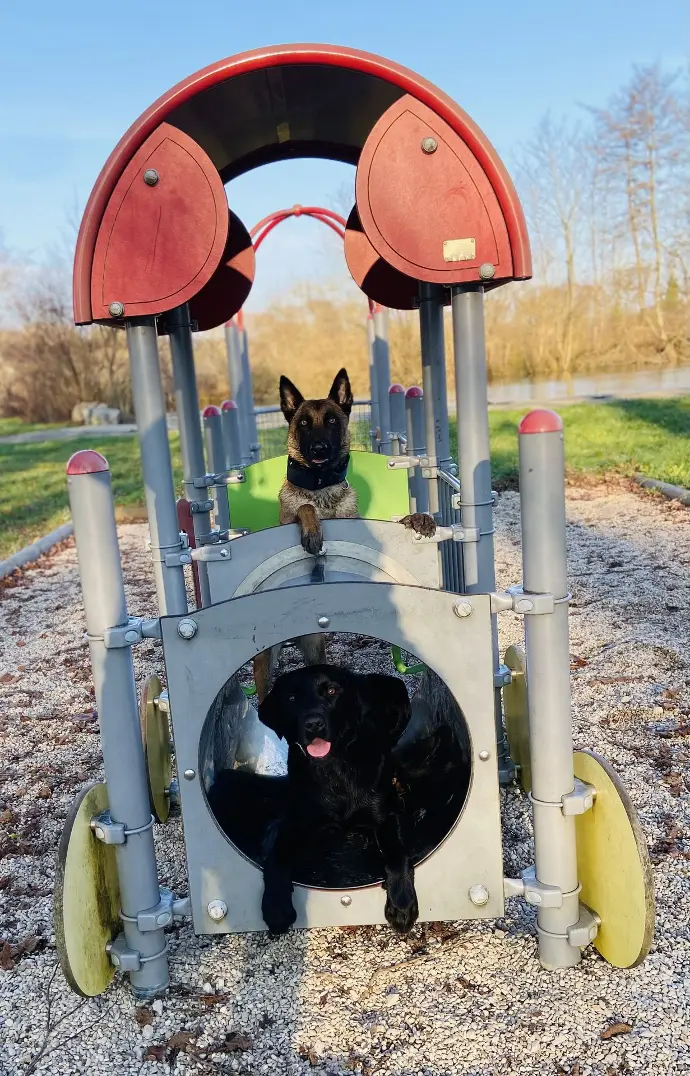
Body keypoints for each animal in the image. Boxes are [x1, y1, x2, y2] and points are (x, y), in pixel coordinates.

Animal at [251, 367, 434, 705]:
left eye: (332, 421)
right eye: (304, 423)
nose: (319, 449)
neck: (322, 488)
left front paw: (417, 518)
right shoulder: (291, 514)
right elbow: (304, 507)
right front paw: (312, 530)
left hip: (314, 649)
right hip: (265, 658)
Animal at [258, 662, 419, 933]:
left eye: (332, 691)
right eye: (291, 698)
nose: (313, 723)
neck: (334, 768)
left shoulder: (386, 814)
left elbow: (398, 855)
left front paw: (402, 903)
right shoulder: (298, 818)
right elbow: (276, 856)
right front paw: (275, 906)